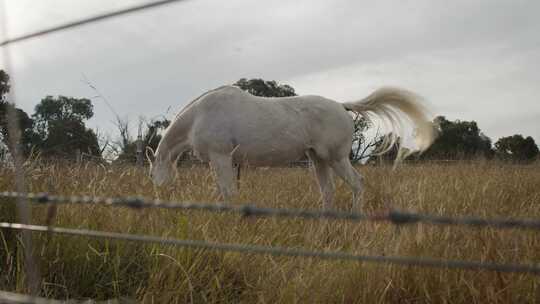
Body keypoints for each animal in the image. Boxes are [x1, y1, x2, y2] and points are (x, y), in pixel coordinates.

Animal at [146, 84, 432, 210]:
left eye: (150, 173)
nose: (158, 199)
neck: (200, 115)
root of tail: (341, 106)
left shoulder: (221, 159)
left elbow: (227, 194)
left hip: (336, 159)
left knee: (357, 184)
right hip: (318, 160)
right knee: (327, 192)